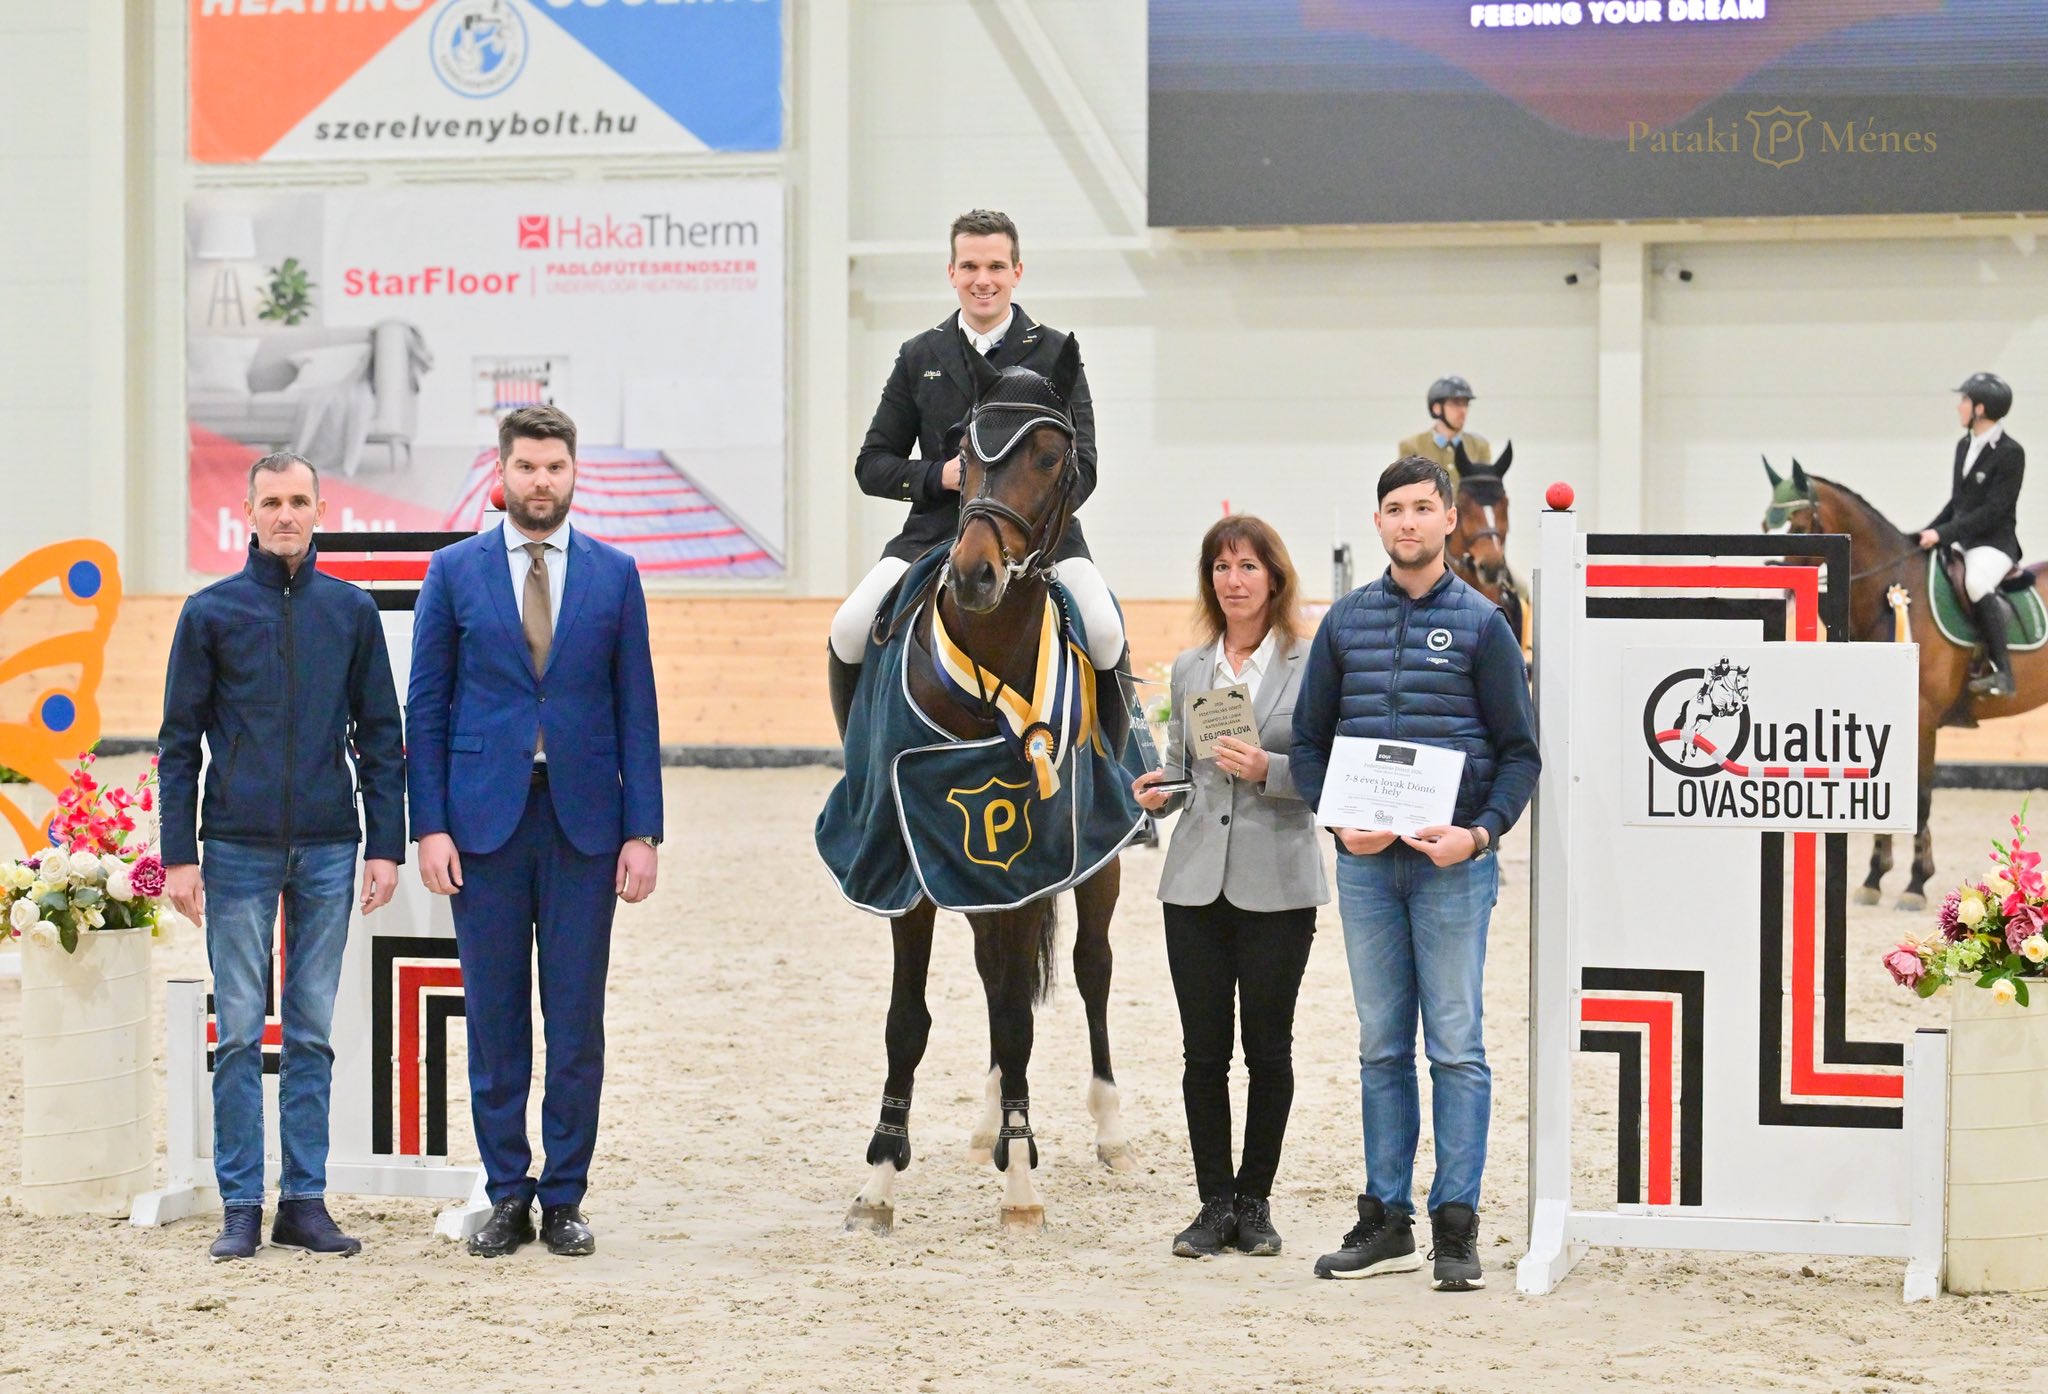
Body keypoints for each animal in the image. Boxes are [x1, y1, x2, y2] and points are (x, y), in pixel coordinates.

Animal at [838, 339, 1137, 1237]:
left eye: (1051, 456)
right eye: (965, 451)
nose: (973, 575)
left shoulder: (1033, 863)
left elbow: (1018, 1014)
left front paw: (1022, 1178)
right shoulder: (908, 860)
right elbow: (910, 1021)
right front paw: (880, 1177)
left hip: (1099, 859)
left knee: (1088, 969)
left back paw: (1103, 1131)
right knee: (994, 976)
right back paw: (991, 1124)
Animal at [1761, 458, 2048, 909]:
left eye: (1798, 525)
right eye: (1764, 524)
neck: (1891, 593)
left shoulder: (1923, 718)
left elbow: (1920, 799)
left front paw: (1915, 884)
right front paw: (1874, 879)